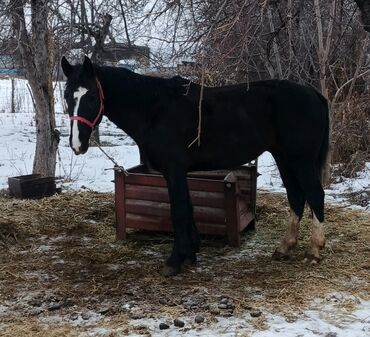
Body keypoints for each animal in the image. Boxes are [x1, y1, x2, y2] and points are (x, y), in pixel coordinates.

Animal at [61, 55, 330, 276]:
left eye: (91, 96)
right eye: (66, 97)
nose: (77, 144)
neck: (154, 110)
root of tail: (314, 94)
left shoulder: (174, 170)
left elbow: (179, 211)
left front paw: (174, 261)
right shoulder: (178, 173)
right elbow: (188, 209)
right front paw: (190, 254)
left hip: (300, 161)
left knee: (315, 195)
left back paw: (314, 251)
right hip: (284, 158)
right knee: (296, 197)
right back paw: (284, 248)